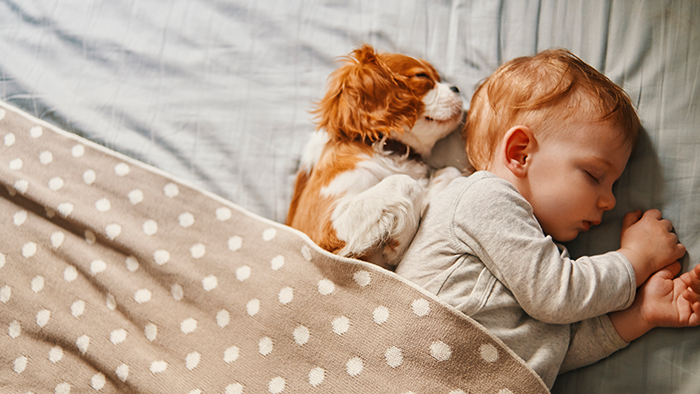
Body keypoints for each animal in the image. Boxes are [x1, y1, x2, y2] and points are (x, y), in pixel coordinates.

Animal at [284, 44, 464, 270]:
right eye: (422, 76)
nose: (456, 88)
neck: (388, 150)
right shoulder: (320, 233)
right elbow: (405, 182)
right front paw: (399, 243)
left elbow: (450, 171)